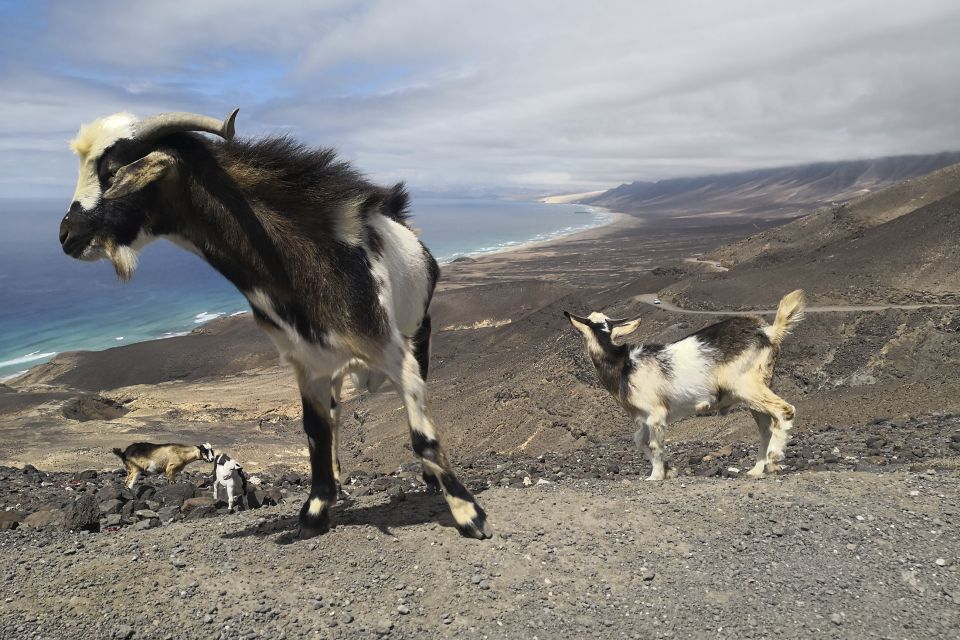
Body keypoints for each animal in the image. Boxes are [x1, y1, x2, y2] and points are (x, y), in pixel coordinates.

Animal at [568, 292, 808, 480]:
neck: (624, 365)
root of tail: (769, 332)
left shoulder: (656, 413)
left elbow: (654, 445)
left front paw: (655, 476)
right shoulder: (644, 418)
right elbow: (640, 441)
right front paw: (669, 470)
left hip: (747, 386)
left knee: (784, 411)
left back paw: (774, 458)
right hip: (756, 391)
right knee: (766, 428)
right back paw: (758, 469)